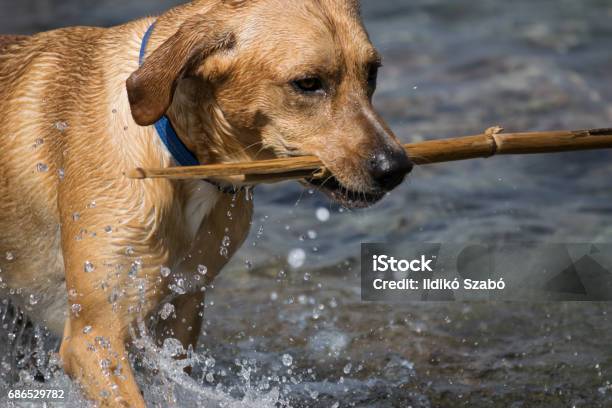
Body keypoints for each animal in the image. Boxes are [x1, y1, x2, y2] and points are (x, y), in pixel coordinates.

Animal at [0, 1, 414, 406]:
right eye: (308, 83)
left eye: (372, 73)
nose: (396, 167)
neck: (179, 157)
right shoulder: (94, 335)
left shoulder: (182, 311)